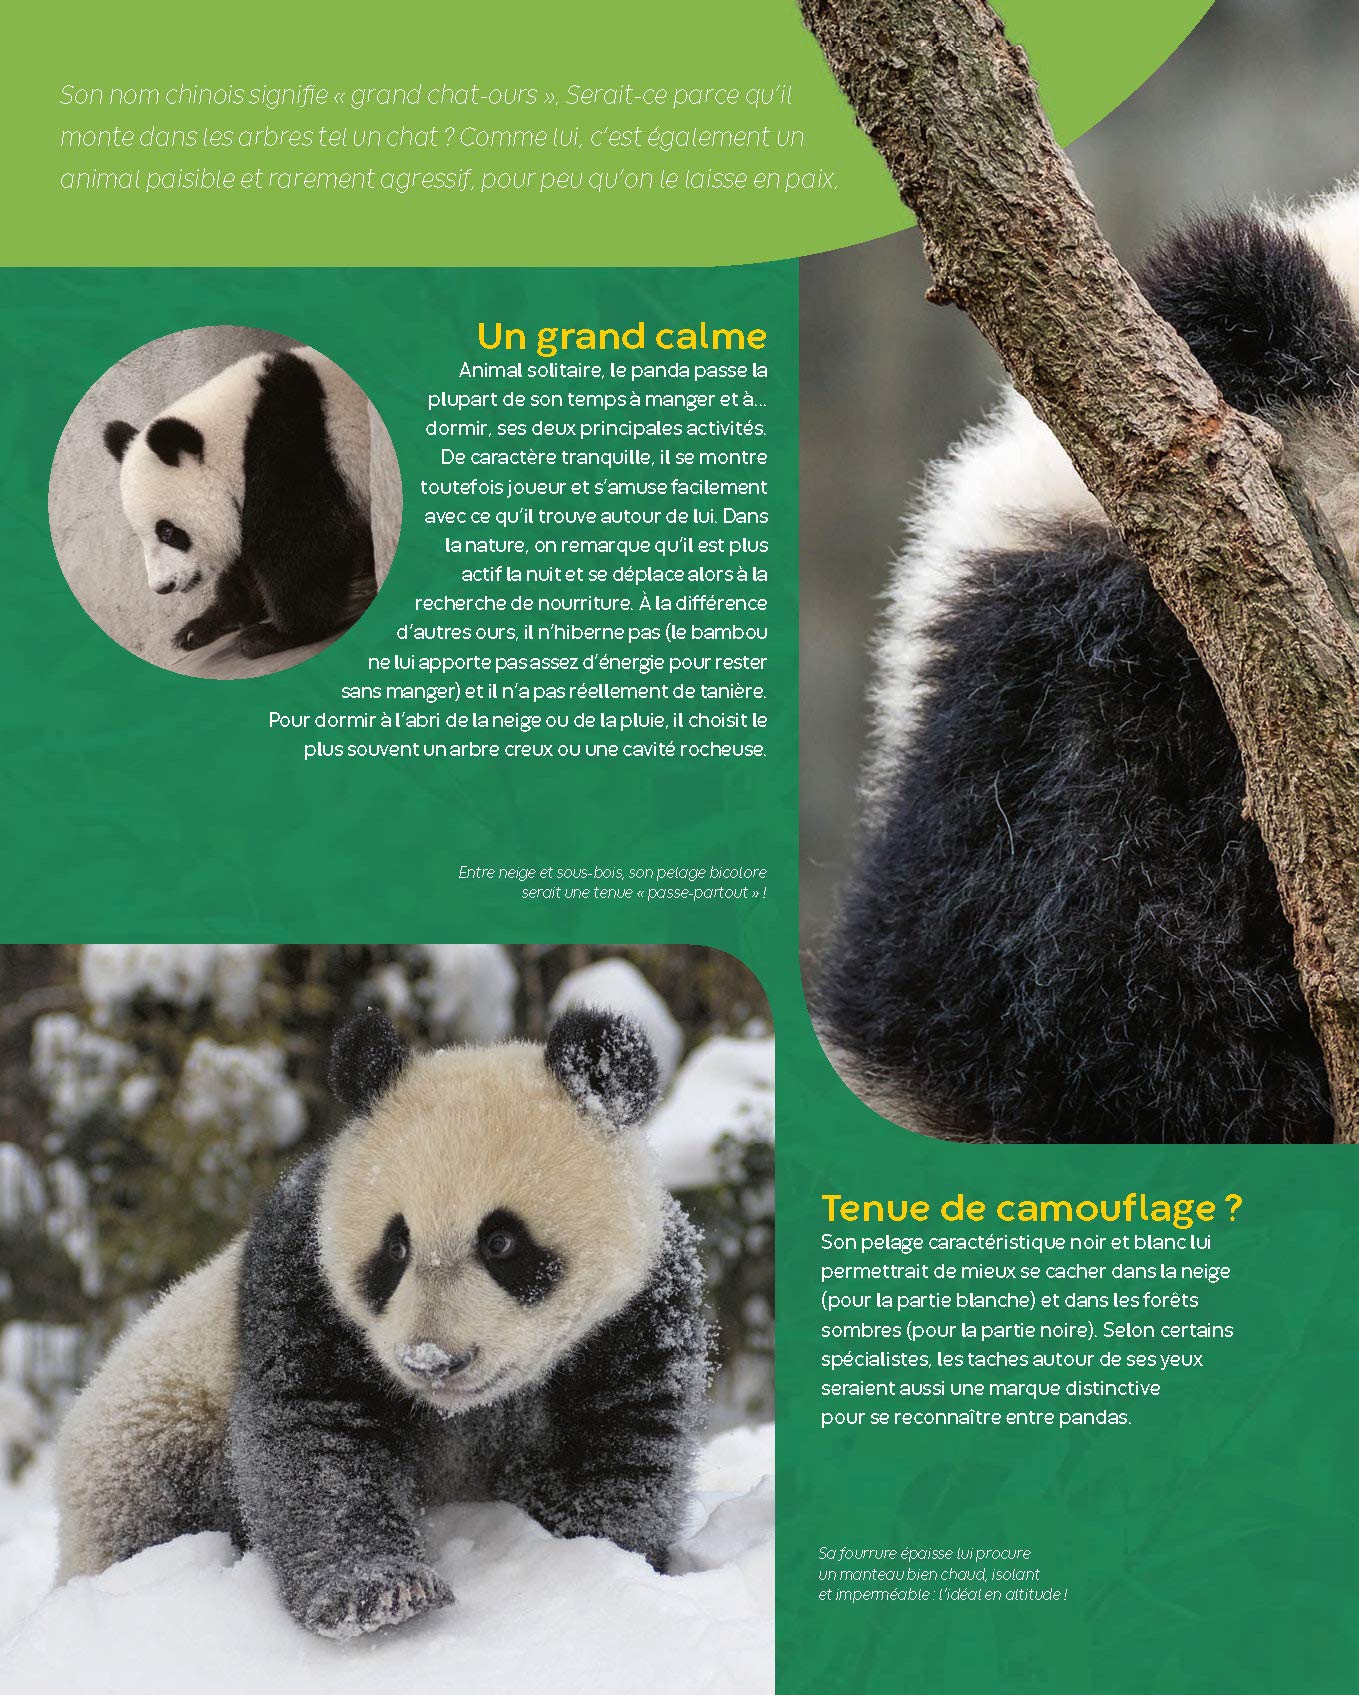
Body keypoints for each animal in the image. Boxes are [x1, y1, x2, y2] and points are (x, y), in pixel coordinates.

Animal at [54, 1005, 709, 1638]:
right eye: (395, 1247)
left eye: (501, 1242)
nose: (432, 1359)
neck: (462, 1411)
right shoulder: (301, 1278)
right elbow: (316, 1436)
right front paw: (384, 1592)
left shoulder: (639, 1311)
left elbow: (619, 1443)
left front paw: (583, 1561)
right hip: (151, 1423)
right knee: (151, 1501)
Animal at [102, 345, 378, 658]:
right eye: (142, 535)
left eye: (168, 532)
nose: (162, 586)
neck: (236, 435)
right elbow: (244, 561)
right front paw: (201, 627)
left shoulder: (291, 448)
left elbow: (301, 544)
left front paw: (277, 634)